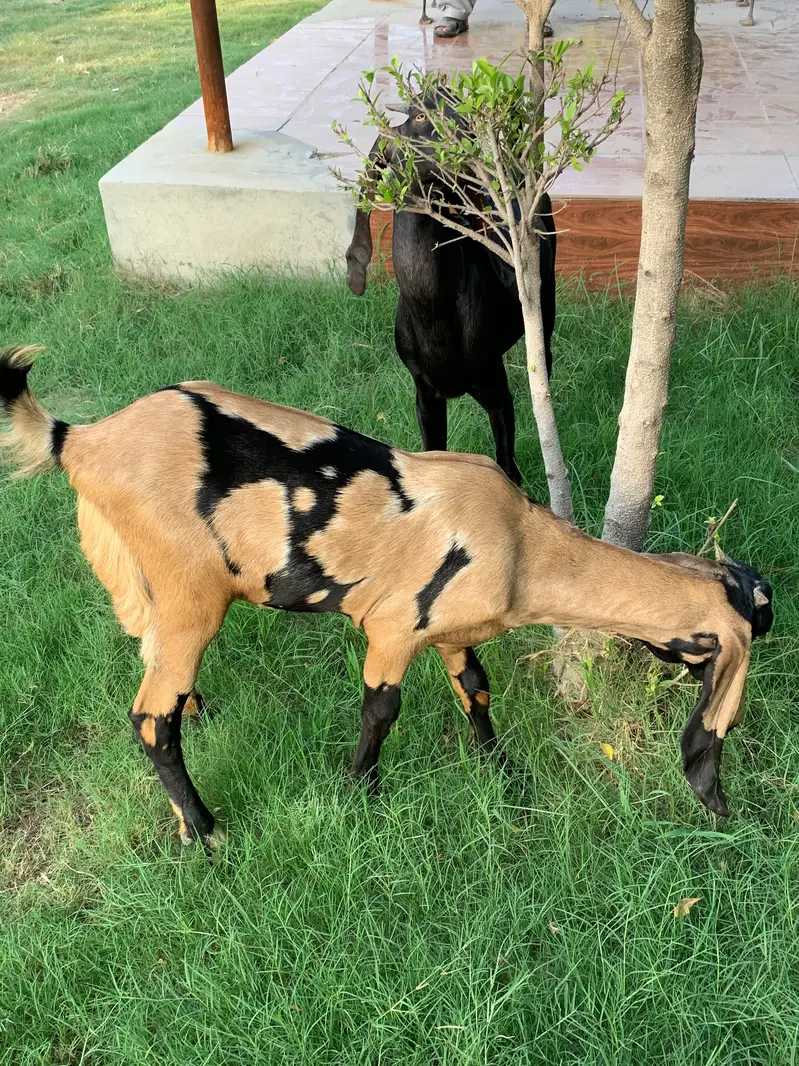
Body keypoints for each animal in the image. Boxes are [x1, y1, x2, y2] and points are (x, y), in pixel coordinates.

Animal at [0, 347, 773, 846]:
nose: (727, 812)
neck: (523, 546)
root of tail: (81, 440)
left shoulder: (452, 633)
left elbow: (475, 689)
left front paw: (504, 774)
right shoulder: (394, 627)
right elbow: (381, 710)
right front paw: (360, 794)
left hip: (141, 580)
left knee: (151, 657)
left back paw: (200, 721)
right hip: (192, 593)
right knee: (148, 718)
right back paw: (205, 830)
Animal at [345, 107, 557, 487]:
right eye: (417, 116)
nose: (476, 139)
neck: (435, 313)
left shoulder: (495, 388)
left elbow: (508, 468)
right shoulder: (426, 397)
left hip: (546, 302)